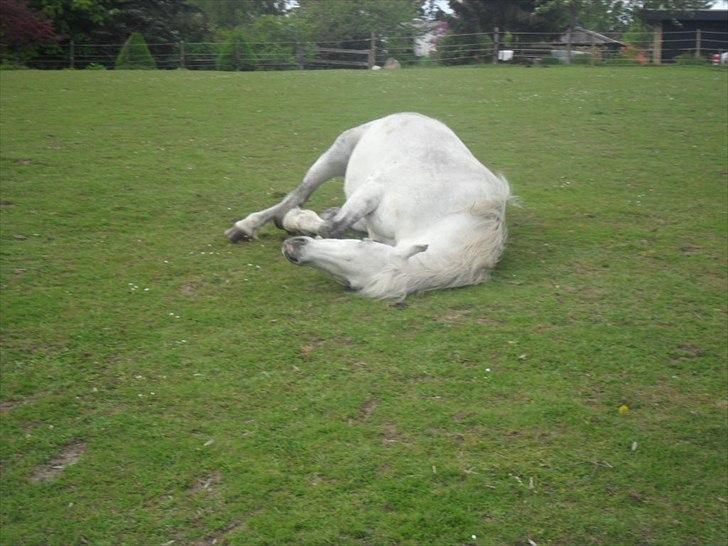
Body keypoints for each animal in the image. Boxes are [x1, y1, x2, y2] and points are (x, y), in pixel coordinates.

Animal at [225, 113, 512, 300]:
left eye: (349, 282)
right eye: (364, 246)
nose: (292, 250)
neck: (450, 214)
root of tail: (415, 115)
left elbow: (333, 227)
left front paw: (302, 223)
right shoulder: (372, 190)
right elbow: (332, 228)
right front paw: (296, 220)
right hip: (337, 155)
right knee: (298, 194)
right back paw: (249, 226)